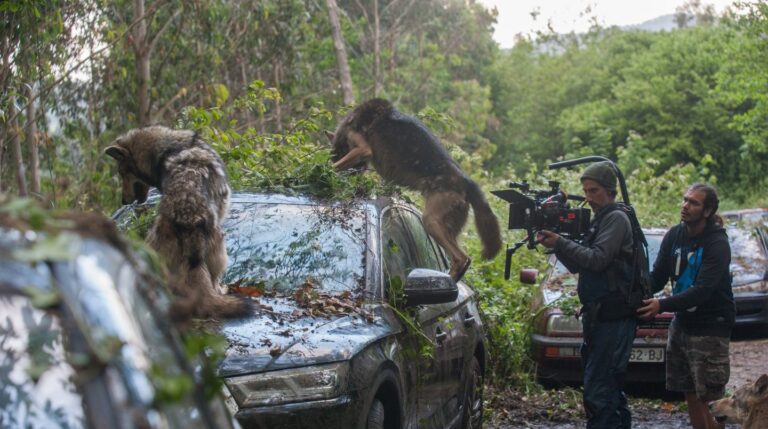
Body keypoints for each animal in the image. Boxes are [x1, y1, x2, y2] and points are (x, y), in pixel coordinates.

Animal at [103, 125, 249, 320]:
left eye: (122, 173)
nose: (123, 202)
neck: (169, 149)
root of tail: (189, 218)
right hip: (220, 250)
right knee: (213, 282)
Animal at [332, 98, 504, 280]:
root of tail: (468, 182)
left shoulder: (362, 149)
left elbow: (334, 165)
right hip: (447, 227)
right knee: (465, 259)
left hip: (430, 221)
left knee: (461, 258)